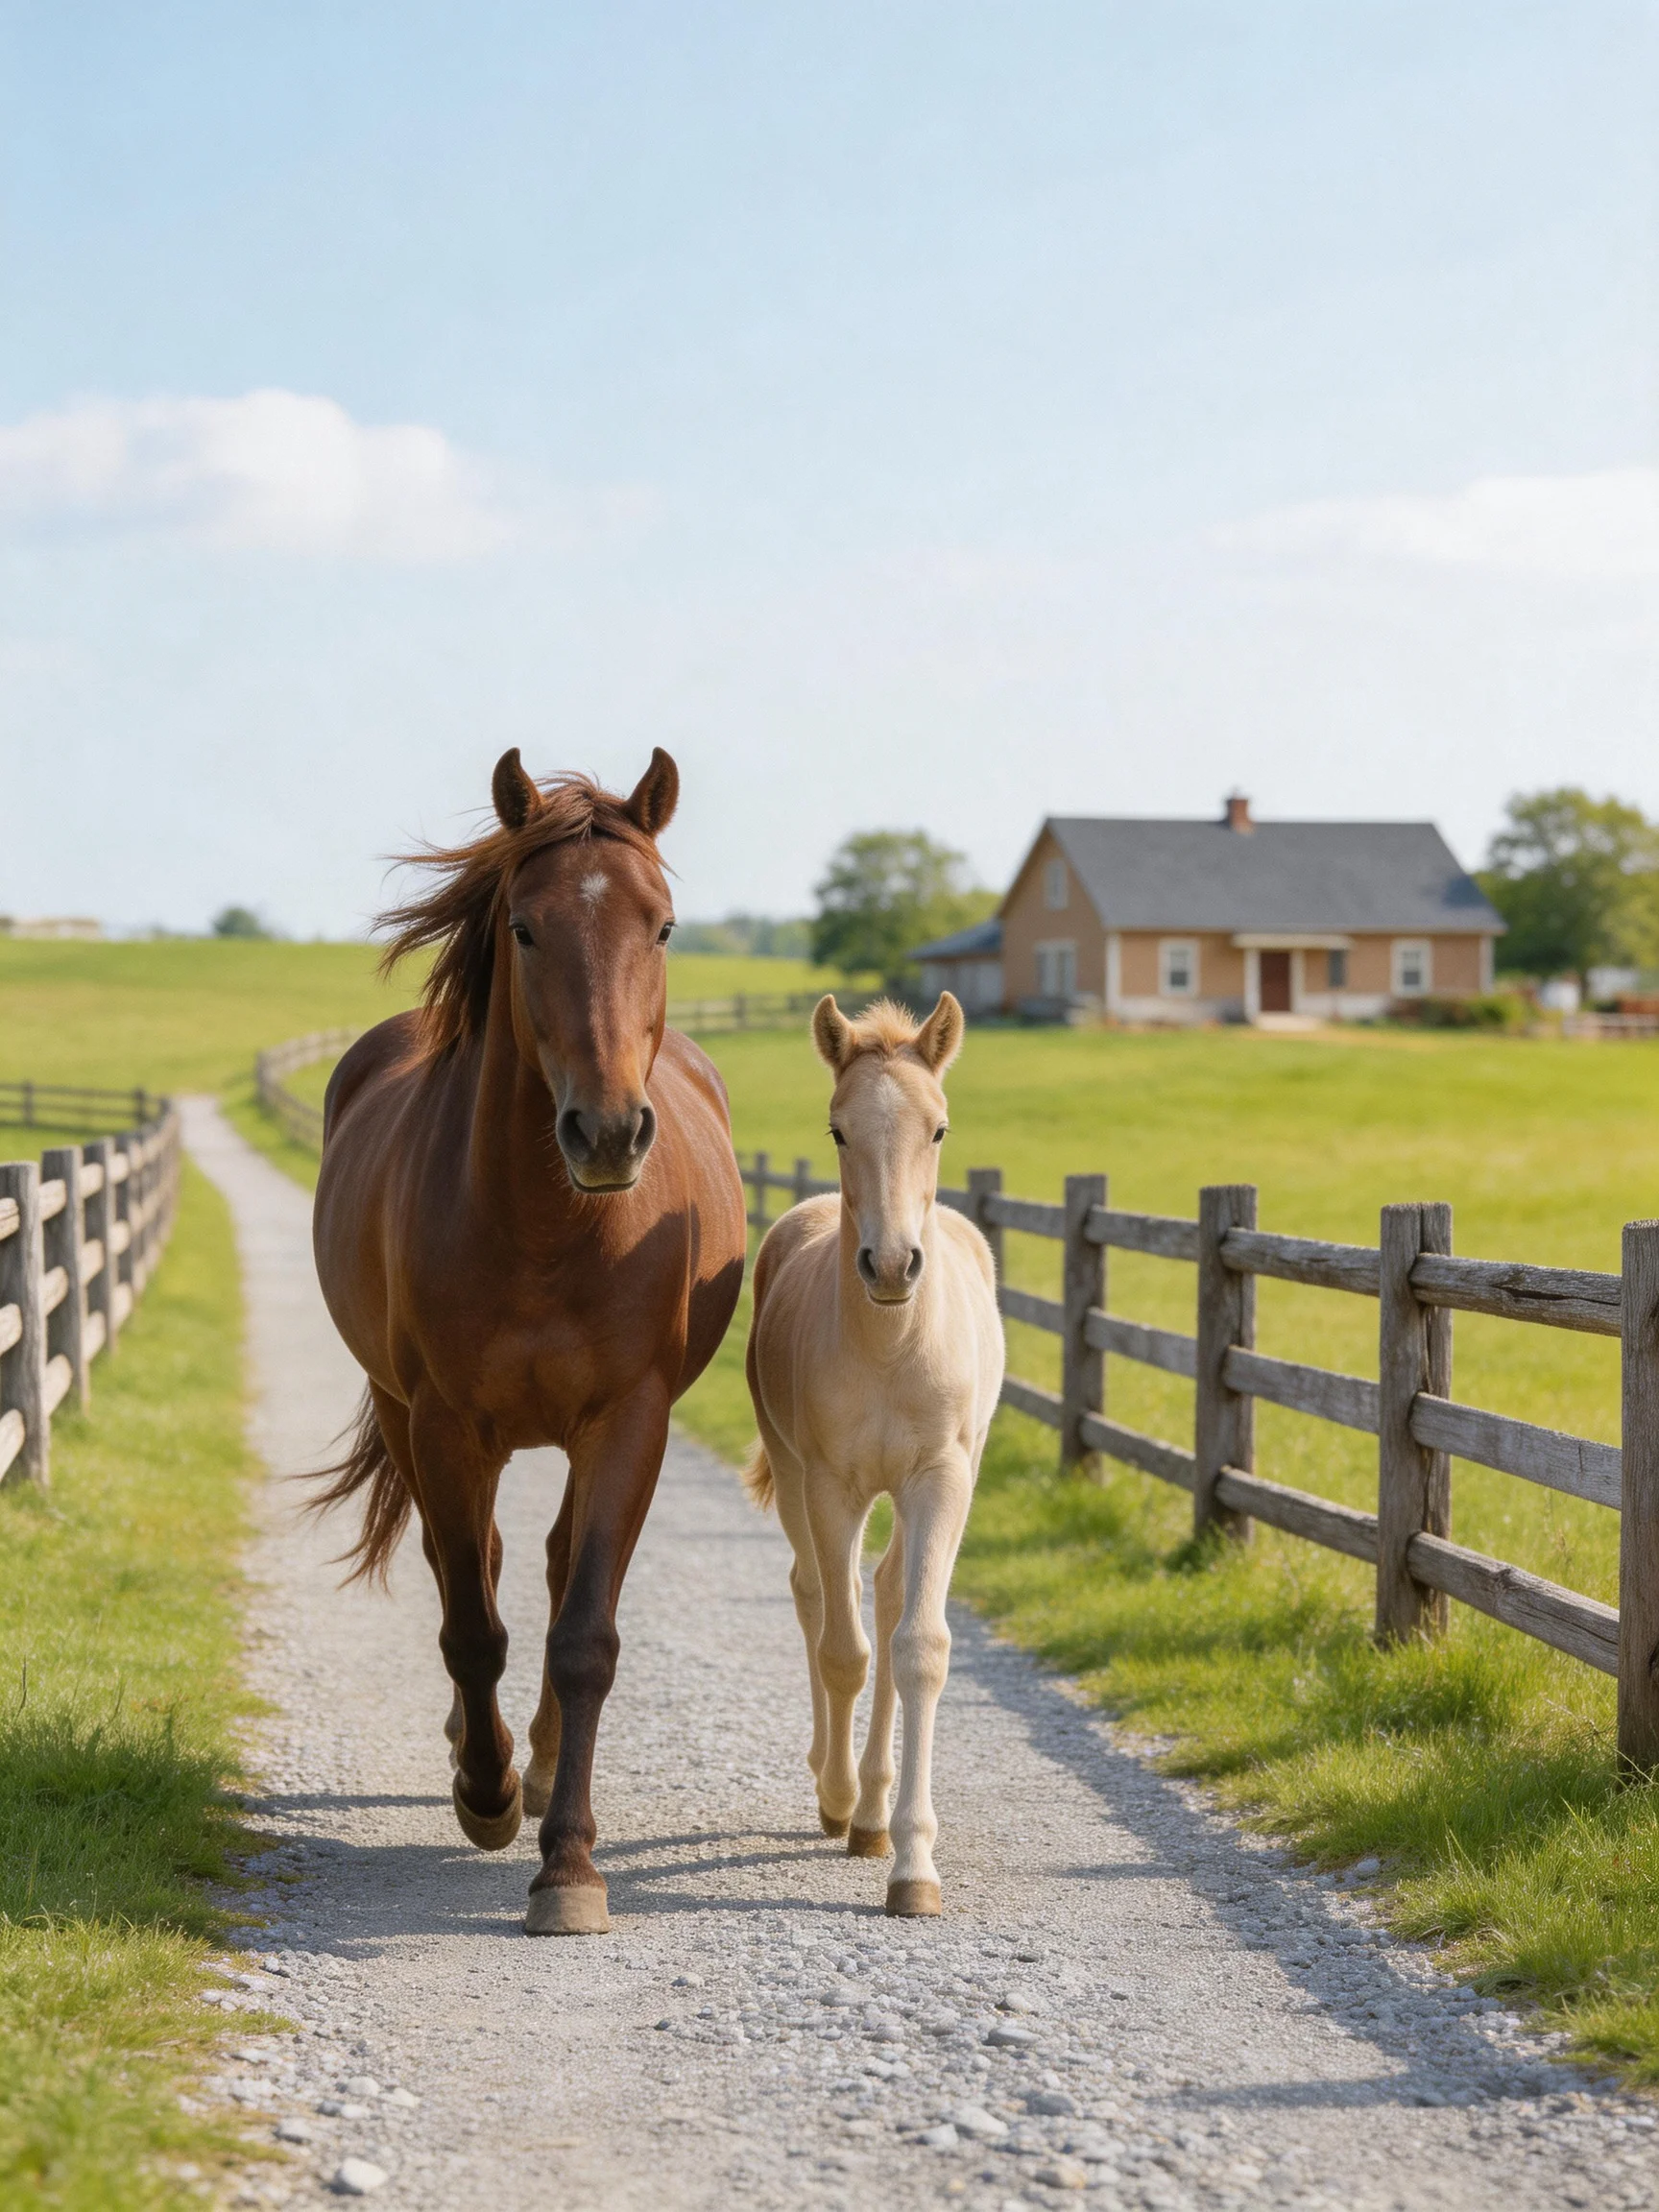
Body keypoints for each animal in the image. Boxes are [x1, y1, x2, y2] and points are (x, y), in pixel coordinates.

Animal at [311, 746, 746, 1935]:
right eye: (524, 928)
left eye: (664, 925)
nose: (608, 1132)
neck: (551, 1227)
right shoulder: (447, 1424)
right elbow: (471, 1619)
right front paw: (486, 1794)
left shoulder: (631, 1420)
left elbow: (585, 1633)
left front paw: (570, 1867)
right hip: (421, 1424)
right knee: (479, 1570)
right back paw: (493, 1758)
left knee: (549, 1574)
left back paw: (544, 1764)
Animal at [741, 991, 1003, 1916]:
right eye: (838, 1129)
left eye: (939, 1128)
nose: (891, 1265)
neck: (892, 1345)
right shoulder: (832, 1487)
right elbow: (843, 1649)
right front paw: (841, 1799)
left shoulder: (942, 1481)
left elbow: (917, 1646)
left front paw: (912, 1863)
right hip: (790, 1476)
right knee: (817, 1596)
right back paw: (843, 1798)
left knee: (888, 1596)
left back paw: (878, 1812)